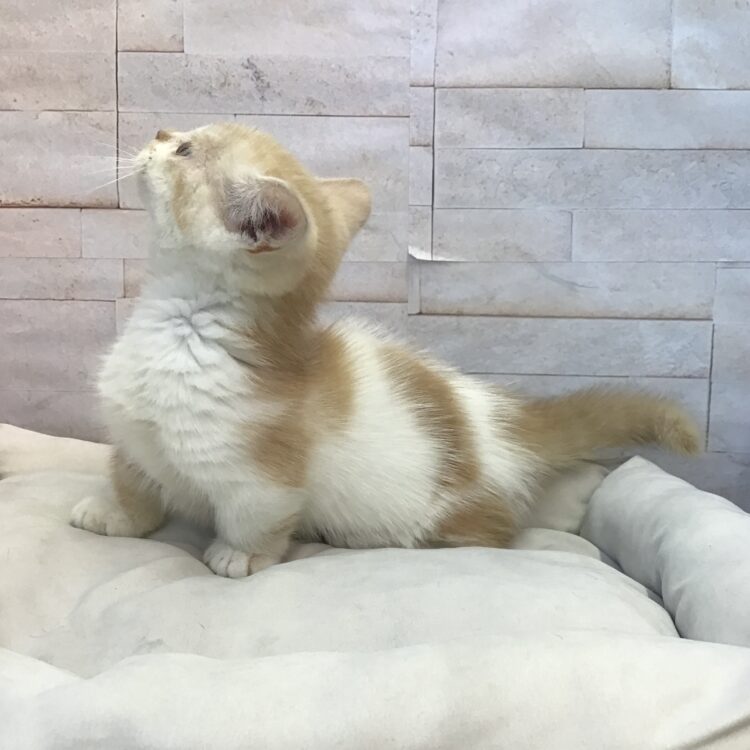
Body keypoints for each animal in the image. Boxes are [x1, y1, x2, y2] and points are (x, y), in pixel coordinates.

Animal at [70, 123, 701, 577]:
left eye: (184, 148)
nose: (157, 131)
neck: (184, 328)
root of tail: (499, 420)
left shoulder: (260, 474)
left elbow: (258, 517)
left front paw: (241, 555)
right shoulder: (136, 440)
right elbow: (133, 484)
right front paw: (114, 514)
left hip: (441, 516)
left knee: (495, 533)